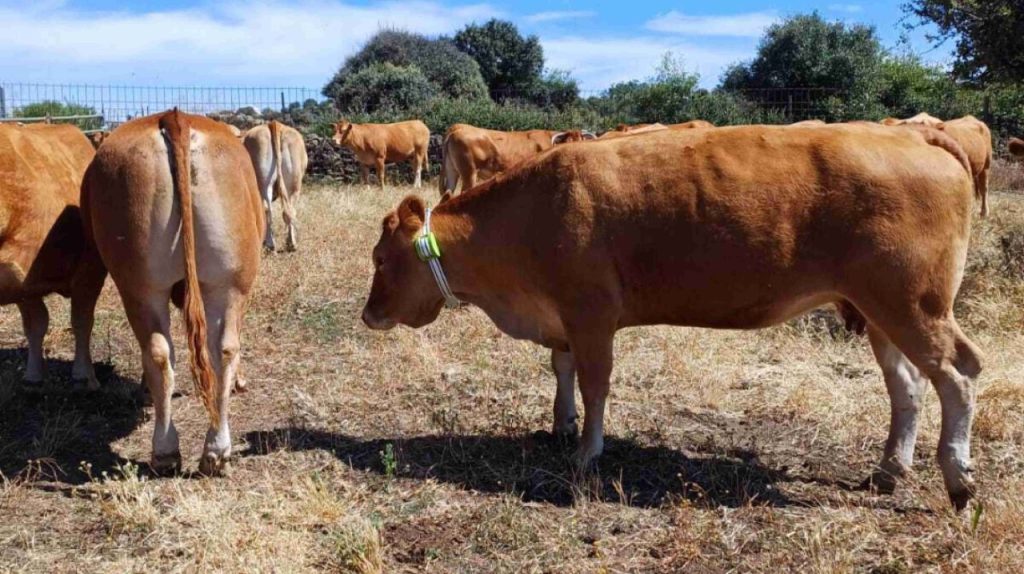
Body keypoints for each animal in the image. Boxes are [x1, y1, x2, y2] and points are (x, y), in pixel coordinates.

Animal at [82, 109, 263, 475]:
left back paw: (185, 451)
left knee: (166, 352)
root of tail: (174, 116)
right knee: (217, 350)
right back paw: (198, 451)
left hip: (148, 286)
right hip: (223, 285)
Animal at [243, 120, 309, 252]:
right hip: (293, 184)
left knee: (267, 209)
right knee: (288, 211)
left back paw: (270, 244)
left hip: (262, 183)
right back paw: (291, 243)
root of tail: (274, 124)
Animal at [362, 124, 983, 511]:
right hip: (882, 314)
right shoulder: (561, 317)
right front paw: (560, 425)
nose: (368, 315)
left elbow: (595, 383)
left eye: (380, 259)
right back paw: (890, 469)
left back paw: (956, 477)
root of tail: (912, 132)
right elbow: (562, 371)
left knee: (959, 374)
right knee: (908, 386)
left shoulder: (591, 314)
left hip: (912, 304)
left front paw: (587, 452)